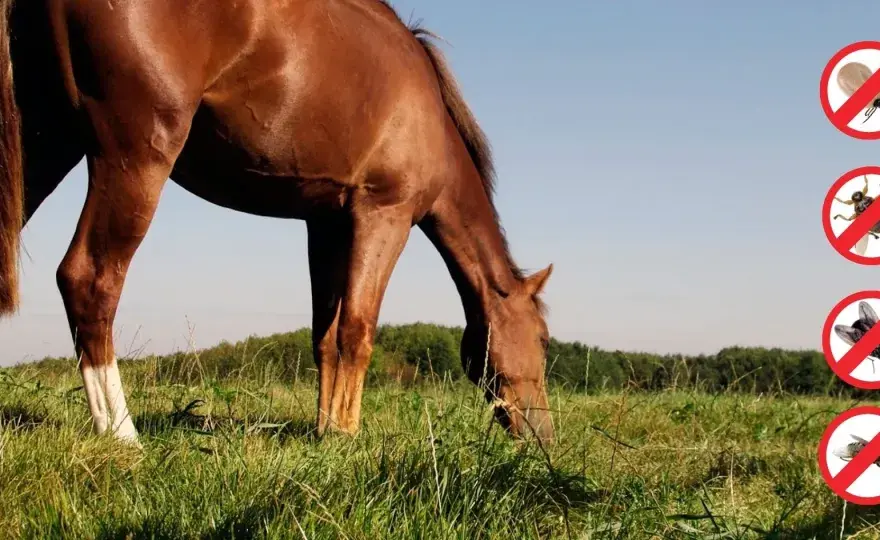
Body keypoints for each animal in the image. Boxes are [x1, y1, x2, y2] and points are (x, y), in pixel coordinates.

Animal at [0, 0, 555, 445]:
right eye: (544, 338)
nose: (545, 436)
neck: (429, 115)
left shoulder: (326, 224)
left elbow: (324, 336)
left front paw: (326, 430)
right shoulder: (383, 215)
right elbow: (357, 331)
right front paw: (347, 435)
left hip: (45, 145)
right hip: (134, 157)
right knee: (89, 281)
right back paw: (122, 435)